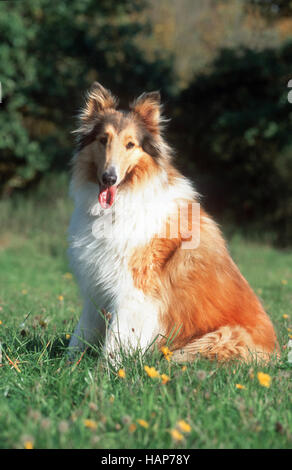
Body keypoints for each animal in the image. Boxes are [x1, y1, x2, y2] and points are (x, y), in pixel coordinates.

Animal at [68, 82, 278, 364]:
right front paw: (68, 365)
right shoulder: (96, 286)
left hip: (214, 340)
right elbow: (81, 334)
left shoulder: (134, 289)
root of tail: (276, 352)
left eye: (130, 144)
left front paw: (106, 370)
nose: (109, 178)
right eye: (103, 140)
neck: (123, 202)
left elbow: (116, 339)